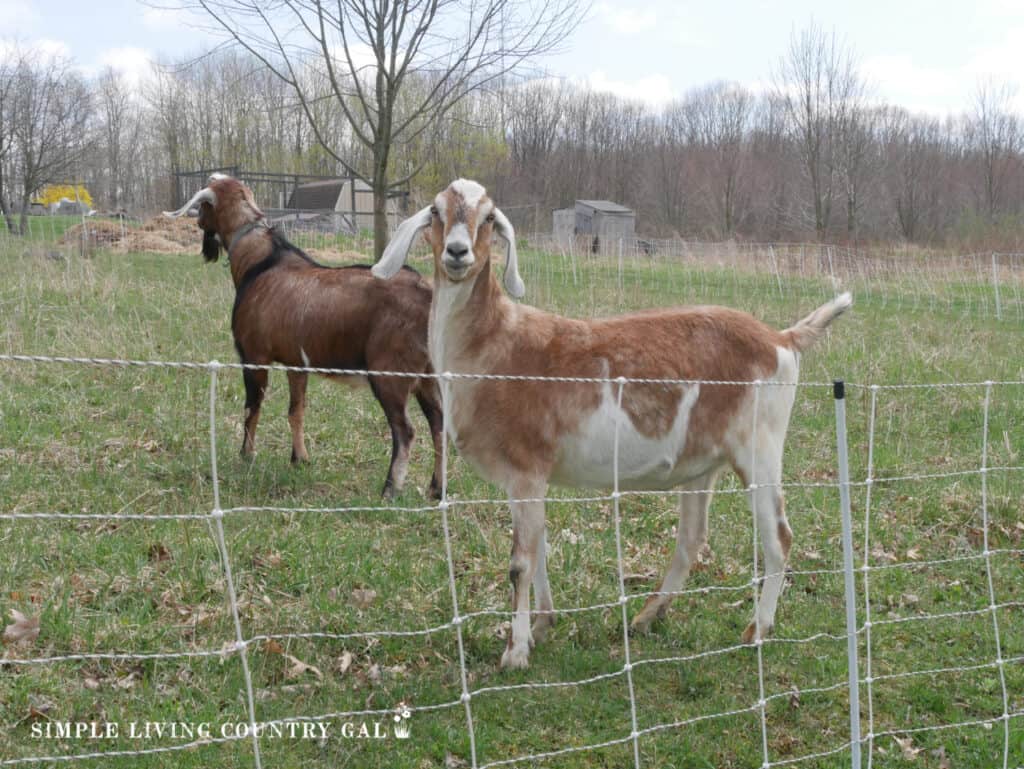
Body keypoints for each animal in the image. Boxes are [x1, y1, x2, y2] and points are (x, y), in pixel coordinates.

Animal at [165, 175, 442, 499]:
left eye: (204, 207)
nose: (197, 222)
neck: (261, 262)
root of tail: (427, 294)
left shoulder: (254, 356)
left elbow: (252, 408)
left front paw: (246, 456)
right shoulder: (296, 362)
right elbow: (295, 410)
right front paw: (300, 458)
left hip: (390, 373)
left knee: (405, 430)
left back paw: (390, 489)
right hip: (427, 374)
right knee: (438, 422)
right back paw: (436, 488)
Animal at [372, 179, 851, 667]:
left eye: (488, 217)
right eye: (436, 211)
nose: (457, 252)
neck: (495, 345)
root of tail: (781, 339)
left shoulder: (526, 468)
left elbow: (520, 562)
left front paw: (515, 652)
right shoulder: (528, 480)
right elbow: (538, 549)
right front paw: (541, 627)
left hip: (760, 446)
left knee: (779, 537)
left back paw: (756, 630)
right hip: (702, 463)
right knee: (692, 537)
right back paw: (646, 617)